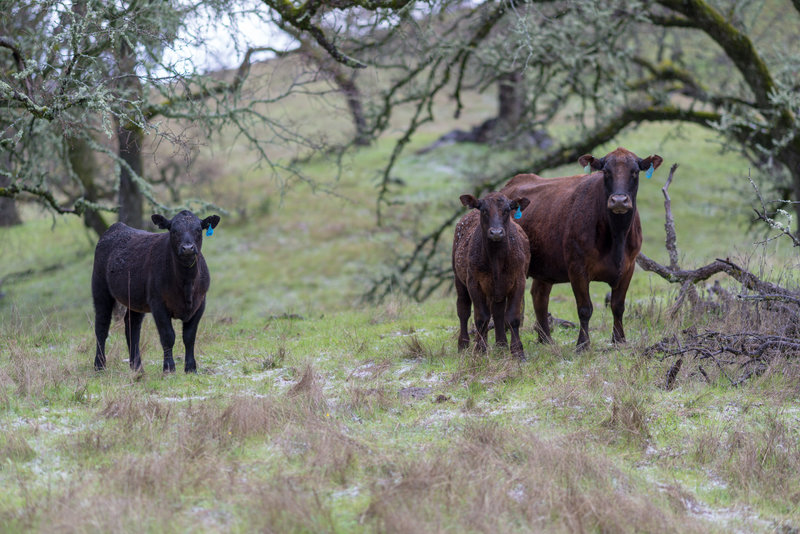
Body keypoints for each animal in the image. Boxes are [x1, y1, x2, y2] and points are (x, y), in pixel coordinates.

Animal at [454, 193, 528, 360]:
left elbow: (512, 317)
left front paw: (517, 351)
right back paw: (463, 344)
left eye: (507, 210)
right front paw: (480, 350)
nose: (496, 233)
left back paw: (501, 344)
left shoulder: (519, 280)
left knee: (498, 312)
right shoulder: (474, 283)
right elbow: (481, 318)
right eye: (484, 210)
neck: (496, 260)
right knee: (463, 310)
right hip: (459, 280)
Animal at [500, 149, 664, 350]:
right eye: (606, 172)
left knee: (540, 296)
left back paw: (546, 339)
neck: (617, 235)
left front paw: (619, 340)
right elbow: (585, 308)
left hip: (546, 267)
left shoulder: (628, 267)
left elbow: (618, 306)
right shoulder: (577, 267)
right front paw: (583, 344)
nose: (619, 200)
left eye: (634, 172)